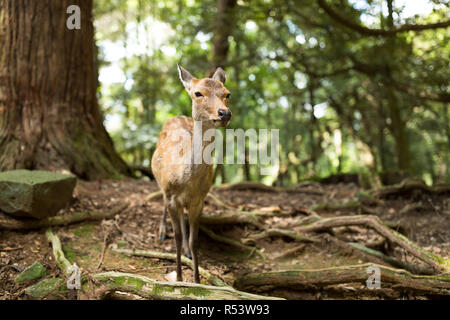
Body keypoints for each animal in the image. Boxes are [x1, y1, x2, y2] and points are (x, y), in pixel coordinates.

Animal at [153, 64, 234, 282]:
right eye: (198, 93)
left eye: (227, 94)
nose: (224, 113)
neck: (186, 181)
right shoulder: (171, 194)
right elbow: (177, 237)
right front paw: (180, 278)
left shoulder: (200, 199)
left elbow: (193, 240)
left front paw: (197, 280)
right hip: (160, 182)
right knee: (162, 201)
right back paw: (162, 232)